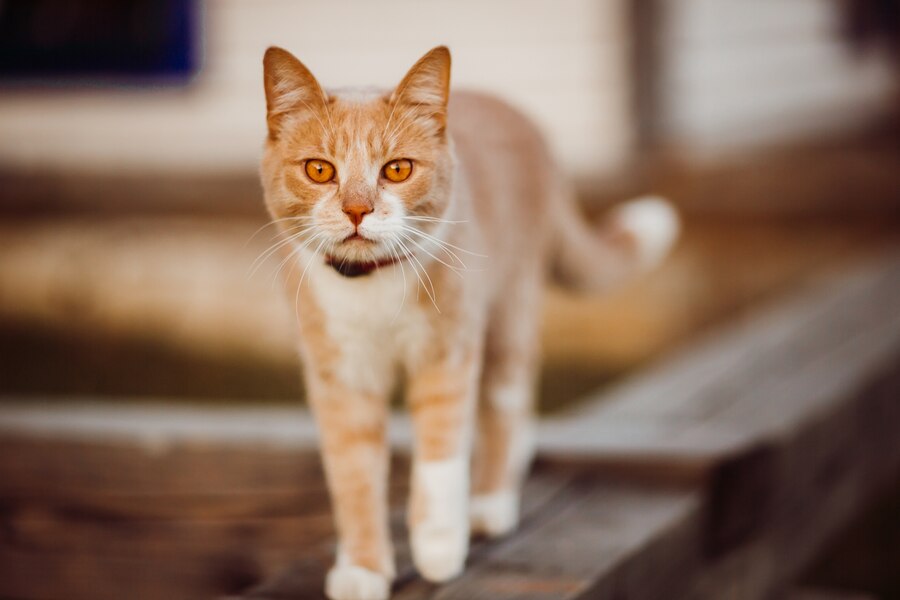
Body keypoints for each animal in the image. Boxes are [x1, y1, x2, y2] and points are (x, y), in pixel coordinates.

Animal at [256, 44, 680, 596]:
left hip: (508, 315)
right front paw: (364, 568)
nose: (357, 210)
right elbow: (353, 477)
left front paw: (438, 545)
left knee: (505, 403)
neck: (373, 288)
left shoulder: (448, 353)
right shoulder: (340, 377)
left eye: (397, 170)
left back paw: (490, 501)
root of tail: (526, 123)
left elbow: (440, 456)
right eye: (319, 171)